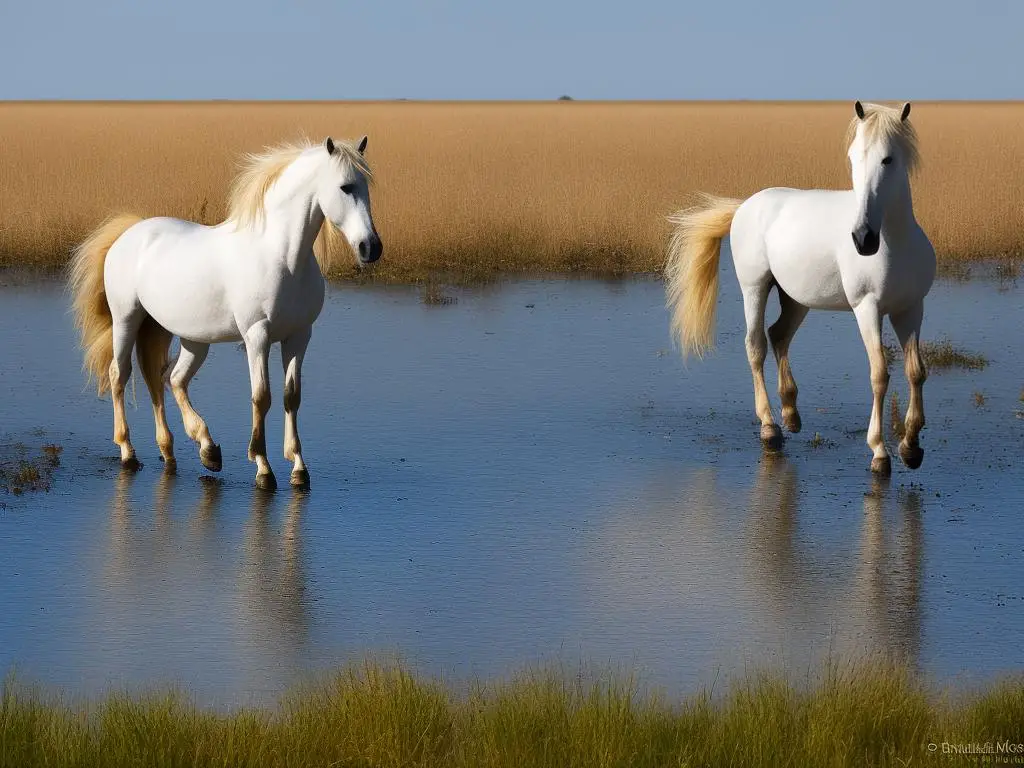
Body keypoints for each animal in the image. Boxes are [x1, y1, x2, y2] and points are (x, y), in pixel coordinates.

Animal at [68, 135, 380, 489]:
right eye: (345, 187)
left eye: (367, 186)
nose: (371, 247)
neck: (282, 257)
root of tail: (129, 233)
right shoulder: (257, 336)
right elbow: (261, 396)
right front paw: (263, 467)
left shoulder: (299, 336)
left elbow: (292, 396)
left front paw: (299, 467)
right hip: (127, 320)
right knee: (120, 375)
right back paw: (128, 452)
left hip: (186, 337)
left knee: (167, 380)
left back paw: (196, 450)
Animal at [663, 102, 937, 475]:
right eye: (853, 158)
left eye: (888, 159)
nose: (862, 239)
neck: (895, 244)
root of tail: (745, 205)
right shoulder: (867, 309)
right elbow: (879, 373)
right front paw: (879, 451)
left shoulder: (910, 308)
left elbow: (916, 372)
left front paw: (911, 447)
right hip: (755, 287)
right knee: (756, 345)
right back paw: (769, 427)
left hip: (795, 299)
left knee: (779, 335)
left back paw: (791, 415)